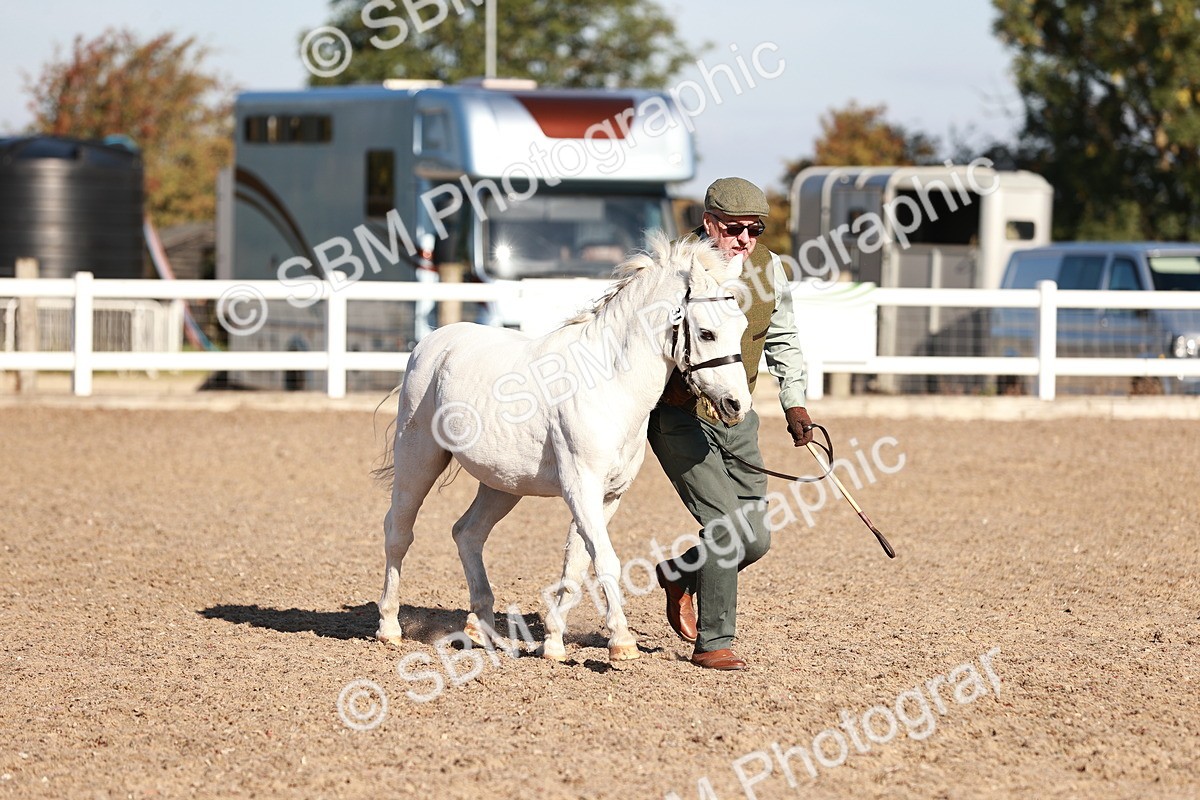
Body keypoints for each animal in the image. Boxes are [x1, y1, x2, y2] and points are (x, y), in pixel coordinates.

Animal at [374, 232, 751, 663]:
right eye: (706, 333)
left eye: (741, 326)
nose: (737, 405)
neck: (609, 383)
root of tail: (433, 342)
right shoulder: (580, 487)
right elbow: (604, 560)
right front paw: (622, 644)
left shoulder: (608, 496)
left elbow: (576, 563)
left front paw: (553, 643)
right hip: (418, 460)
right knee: (399, 531)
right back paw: (389, 627)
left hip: (503, 484)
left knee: (467, 533)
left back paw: (481, 629)